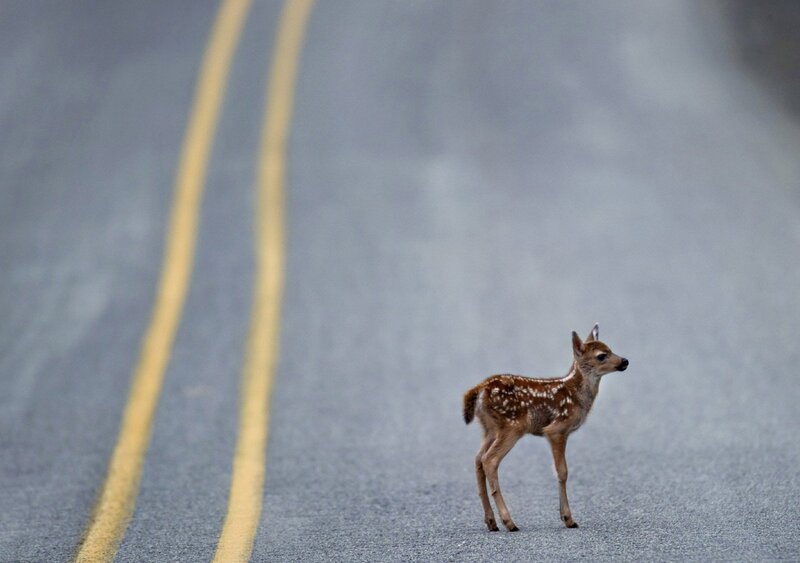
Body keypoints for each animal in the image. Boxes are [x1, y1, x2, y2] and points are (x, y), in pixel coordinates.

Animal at [462, 324, 628, 531]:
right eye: (601, 355)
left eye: (610, 349)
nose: (625, 361)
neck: (577, 395)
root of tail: (480, 388)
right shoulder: (557, 429)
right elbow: (562, 471)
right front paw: (568, 518)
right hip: (511, 426)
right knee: (489, 460)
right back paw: (509, 522)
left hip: (490, 428)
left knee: (478, 459)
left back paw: (491, 522)